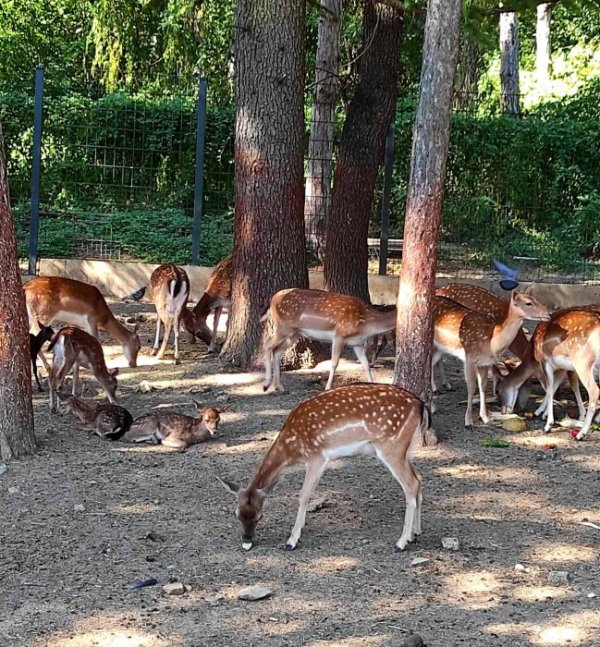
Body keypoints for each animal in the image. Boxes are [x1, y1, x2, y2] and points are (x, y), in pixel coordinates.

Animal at [218, 382, 434, 556]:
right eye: (237, 514)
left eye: (260, 515)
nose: (247, 539)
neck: (291, 448)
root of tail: (420, 404)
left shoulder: (317, 457)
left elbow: (304, 495)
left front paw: (292, 540)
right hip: (405, 449)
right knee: (419, 478)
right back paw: (415, 533)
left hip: (392, 446)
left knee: (410, 484)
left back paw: (401, 543)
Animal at [260, 290, 396, 392]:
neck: (368, 324)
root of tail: (272, 300)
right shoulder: (339, 335)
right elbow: (334, 363)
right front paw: (327, 388)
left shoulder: (357, 343)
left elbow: (366, 364)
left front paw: (372, 385)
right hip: (283, 326)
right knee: (267, 345)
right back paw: (266, 384)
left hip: (294, 333)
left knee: (277, 350)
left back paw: (279, 386)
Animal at [434, 290, 552, 430]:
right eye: (528, 303)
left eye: (536, 299)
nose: (549, 314)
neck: (491, 341)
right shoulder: (469, 358)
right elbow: (471, 387)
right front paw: (468, 421)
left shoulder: (485, 363)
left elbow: (483, 386)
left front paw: (485, 418)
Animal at [500, 308, 600, 440]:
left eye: (498, 390)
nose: (503, 411)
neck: (532, 357)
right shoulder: (564, 368)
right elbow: (564, 386)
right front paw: (542, 413)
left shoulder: (546, 362)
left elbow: (550, 388)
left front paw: (548, 424)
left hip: (582, 362)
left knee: (594, 391)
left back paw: (581, 433)